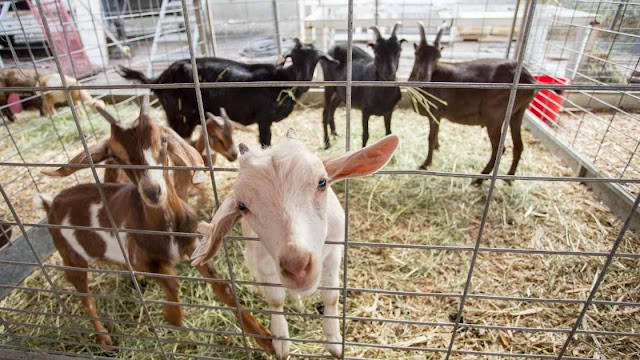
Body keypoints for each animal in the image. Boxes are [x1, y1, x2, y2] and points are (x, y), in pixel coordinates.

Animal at [36, 95, 272, 352]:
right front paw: (172, 316)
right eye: (115, 154)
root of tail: (52, 204)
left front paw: (266, 339)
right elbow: (171, 281)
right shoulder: (143, 258)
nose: (152, 191)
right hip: (71, 259)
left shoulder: (191, 245)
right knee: (86, 299)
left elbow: (222, 287)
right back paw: (105, 340)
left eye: (164, 139)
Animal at [117, 39, 338, 146]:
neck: (282, 78)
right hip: (179, 116)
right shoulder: (264, 118)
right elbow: (265, 142)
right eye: (293, 57)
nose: (303, 78)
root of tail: (158, 79)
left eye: (316, 58)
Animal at [191, 129, 400, 358]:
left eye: (322, 183)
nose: (297, 266)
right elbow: (275, 300)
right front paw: (281, 341)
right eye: (242, 206)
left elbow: (331, 296)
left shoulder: (334, 252)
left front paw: (334, 342)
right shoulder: (265, 265)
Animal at [408, 21, 536, 186]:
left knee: (499, 149)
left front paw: (425, 164)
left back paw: (479, 179)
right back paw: (509, 177)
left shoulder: (435, 112)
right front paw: (438, 148)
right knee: (518, 145)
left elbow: (430, 137)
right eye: (417, 54)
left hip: (494, 116)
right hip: (518, 112)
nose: (424, 78)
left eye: (437, 57)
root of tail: (529, 79)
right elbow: (435, 136)